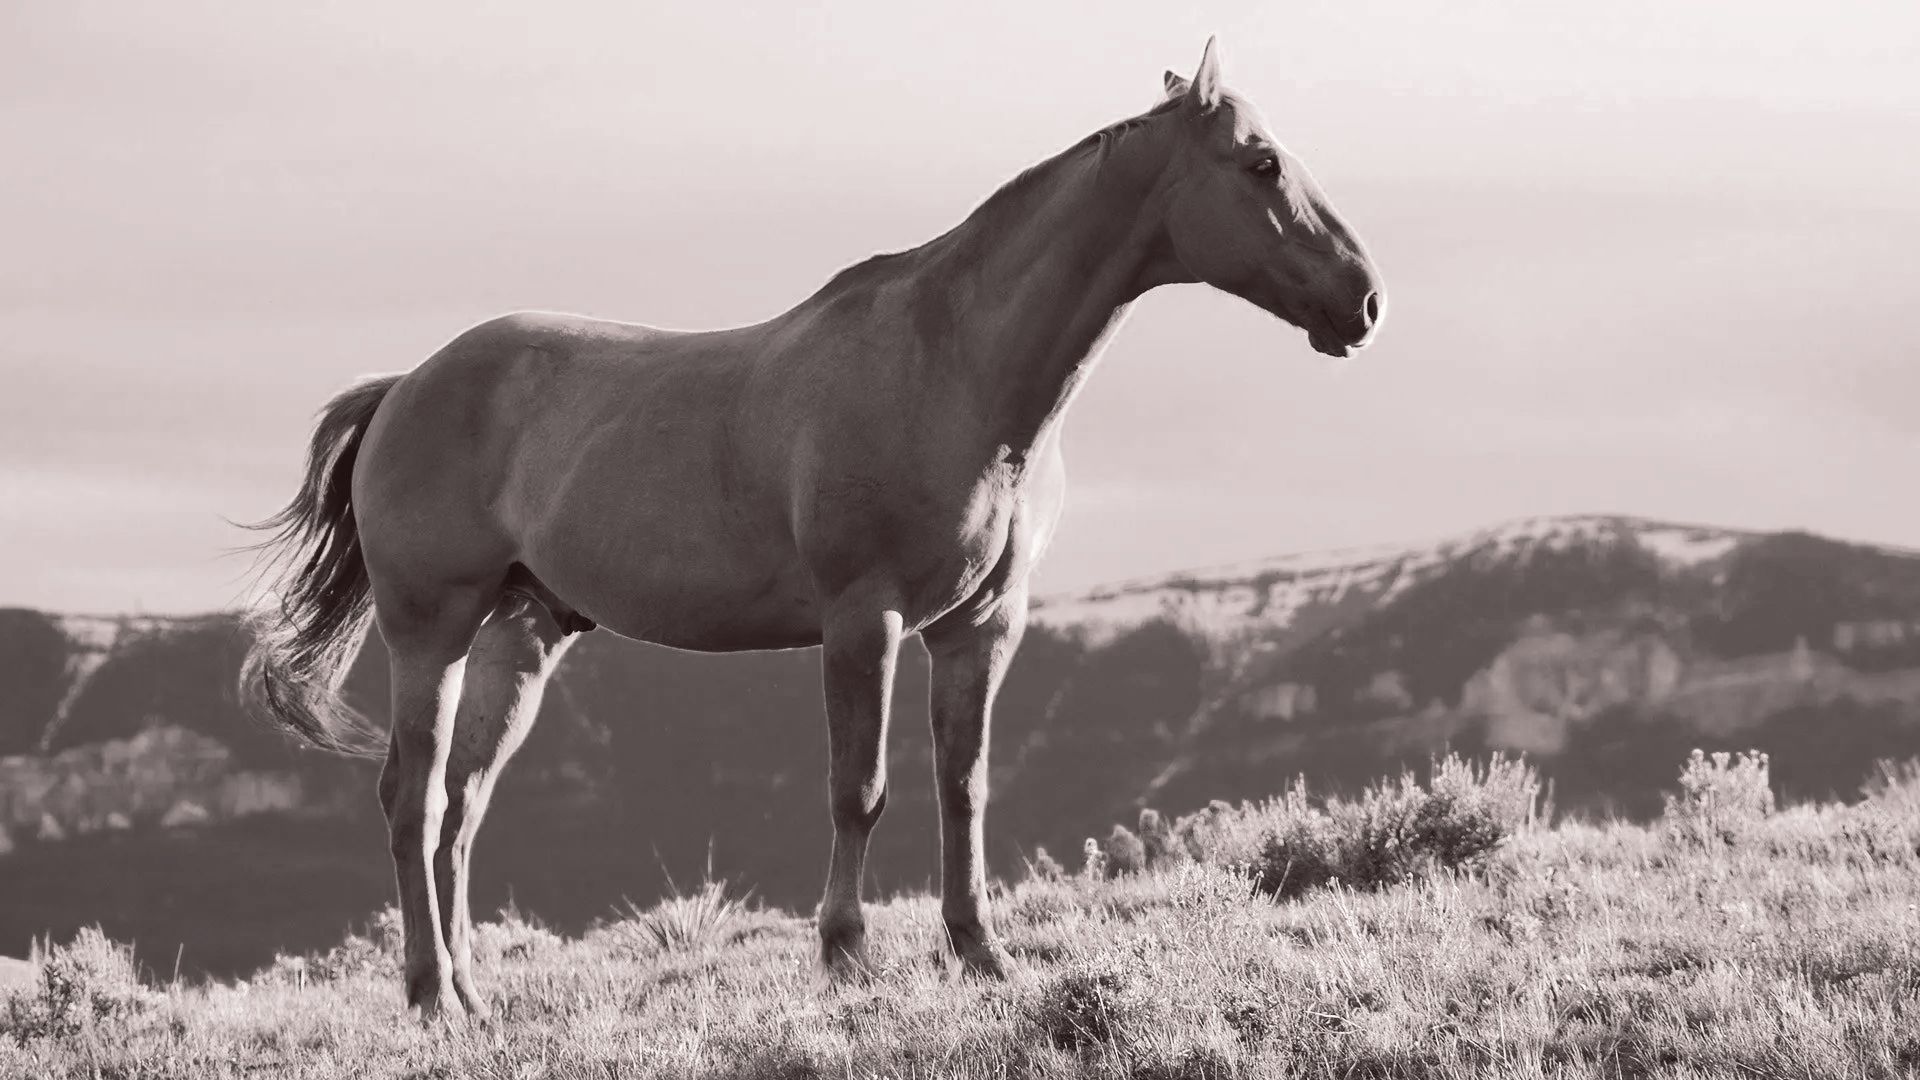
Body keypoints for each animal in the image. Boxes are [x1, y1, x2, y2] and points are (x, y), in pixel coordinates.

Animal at [242, 38, 1383, 1020]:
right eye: (1262, 162)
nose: (1364, 301)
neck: (955, 368)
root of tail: (406, 386)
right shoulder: (862, 620)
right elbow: (859, 790)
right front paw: (845, 955)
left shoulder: (980, 628)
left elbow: (964, 789)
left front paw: (981, 954)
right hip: (428, 628)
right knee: (412, 798)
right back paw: (430, 996)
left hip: (519, 636)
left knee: (463, 807)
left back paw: (474, 995)